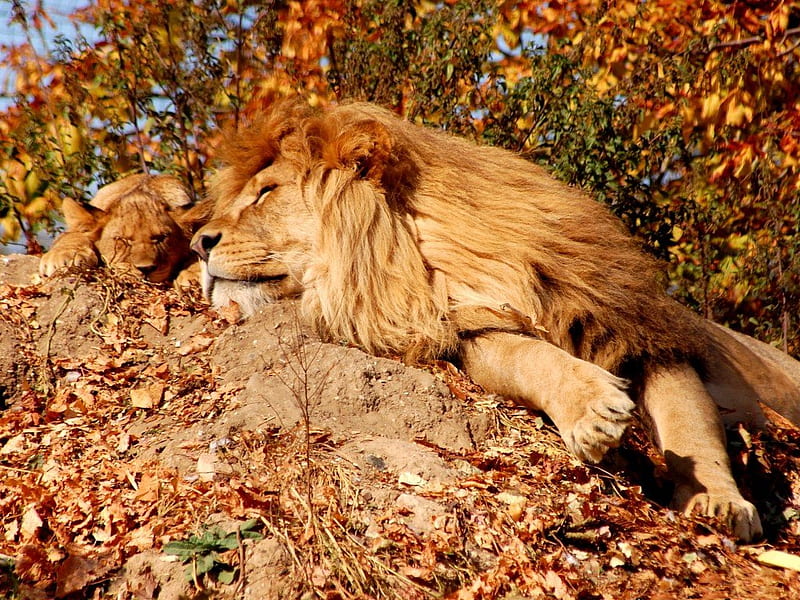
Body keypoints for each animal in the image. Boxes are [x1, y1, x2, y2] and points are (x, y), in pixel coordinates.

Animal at [39, 173, 199, 284]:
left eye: (161, 238)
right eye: (122, 240)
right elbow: (73, 235)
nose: (145, 269)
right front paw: (62, 257)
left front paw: (194, 274)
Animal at [192, 101, 800, 540]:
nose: (200, 244)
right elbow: (531, 357)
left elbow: (689, 422)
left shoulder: (638, 330)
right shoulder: (468, 330)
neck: (430, 259)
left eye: (267, 193)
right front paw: (594, 411)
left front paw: (720, 502)